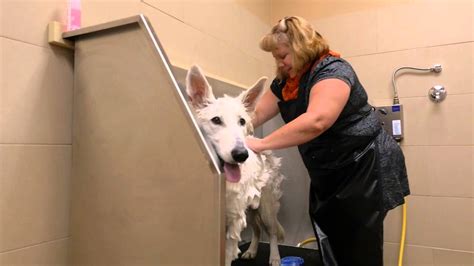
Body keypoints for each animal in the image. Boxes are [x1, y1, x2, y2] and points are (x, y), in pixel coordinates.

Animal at [186, 65, 286, 266]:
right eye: (216, 120)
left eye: (242, 121)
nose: (241, 155)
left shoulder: (234, 221)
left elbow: (227, 255)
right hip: (250, 208)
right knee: (257, 230)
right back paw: (252, 251)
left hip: (266, 208)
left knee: (271, 232)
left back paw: (275, 257)